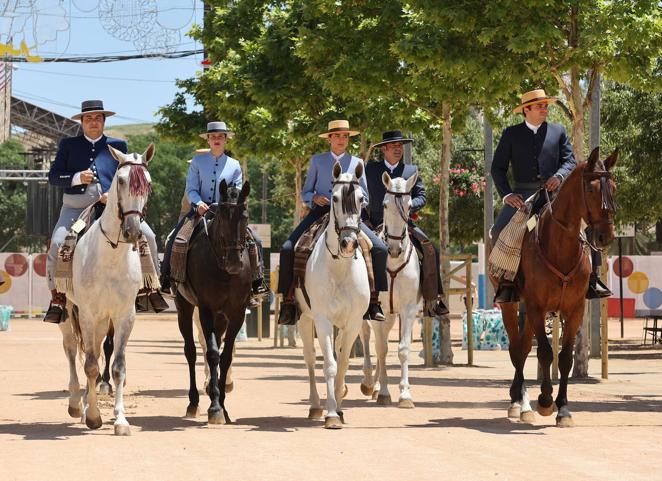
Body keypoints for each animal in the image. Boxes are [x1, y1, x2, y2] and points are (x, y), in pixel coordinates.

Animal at [63, 143, 155, 436]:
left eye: (148, 184)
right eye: (122, 180)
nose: (132, 231)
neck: (111, 256)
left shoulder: (124, 315)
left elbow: (118, 367)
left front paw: (120, 420)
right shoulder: (87, 314)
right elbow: (91, 365)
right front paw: (93, 416)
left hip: (103, 320)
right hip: (70, 312)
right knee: (71, 349)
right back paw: (75, 403)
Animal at [174, 179, 252, 424]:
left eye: (245, 216)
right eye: (223, 216)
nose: (235, 263)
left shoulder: (236, 313)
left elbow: (225, 356)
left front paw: (223, 407)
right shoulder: (205, 310)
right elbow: (212, 354)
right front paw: (215, 407)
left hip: (221, 317)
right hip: (185, 308)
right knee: (191, 351)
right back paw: (194, 402)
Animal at [296, 160, 370, 428]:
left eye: (361, 199)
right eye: (334, 197)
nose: (348, 243)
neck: (339, 268)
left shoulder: (354, 322)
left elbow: (343, 363)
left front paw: (339, 408)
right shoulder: (323, 320)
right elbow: (329, 365)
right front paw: (330, 414)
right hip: (304, 318)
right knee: (309, 359)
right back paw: (316, 406)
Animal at [360, 171, 422, 406]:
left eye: (409, 205)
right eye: (385, 205)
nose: (394, 249)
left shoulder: (408, 310)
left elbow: (402, 349)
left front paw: (404, 394)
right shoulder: (380, 310)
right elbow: (381, 348)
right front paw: (385, 392)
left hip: (392, 316)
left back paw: (376, 386)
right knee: (367, 338)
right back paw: (369, 383)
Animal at [490, 148, 620, 426]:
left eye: (613, 187)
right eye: (591, 189)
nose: (605, 236)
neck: (560, 247)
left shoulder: (574, 309)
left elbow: (565, 357)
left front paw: (563, 409)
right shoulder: (538, 307)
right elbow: (546, 353)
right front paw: (545, 401)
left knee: (523, 347)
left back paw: (522, 403)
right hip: (512, 305)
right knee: (517, 349)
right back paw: (519, 403)